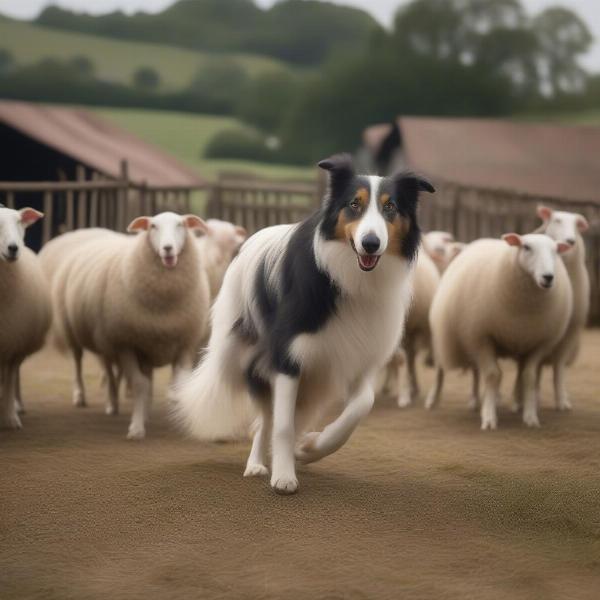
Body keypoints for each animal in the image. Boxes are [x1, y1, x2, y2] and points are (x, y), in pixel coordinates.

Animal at [51, 213, 211, 438]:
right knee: (85, 365)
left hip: (135, 345)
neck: (164, 304)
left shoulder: (184, 344)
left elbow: (177, 386)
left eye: (181, 224)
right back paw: (93, 399)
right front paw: (136, 428)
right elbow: (139, 384)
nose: (168, 248)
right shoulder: (126, 345)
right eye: (153, 226)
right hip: (84, 336)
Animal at [176, 154, 434, 492]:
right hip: (253, 358)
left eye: (390, 207)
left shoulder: (358, 358)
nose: (371, 243)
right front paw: (284, 476)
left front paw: (310, 448)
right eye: (354, 204)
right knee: (267, 418)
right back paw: (257, 464)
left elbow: (360, 406)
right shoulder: (288, 356)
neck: (350, 279)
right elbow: (282, 424)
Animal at [426, 232, 572, 428]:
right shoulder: (482, 336)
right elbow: (492, 375)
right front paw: (489, 417)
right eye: (526, 247)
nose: (548, 277)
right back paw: (433, 400)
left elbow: (529, 377)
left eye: (556, 250)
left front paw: (530, 416)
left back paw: (484, 401)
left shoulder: (539, 344)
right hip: (450, 335)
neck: (523, 311)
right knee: (441, 369)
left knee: (478, 372)